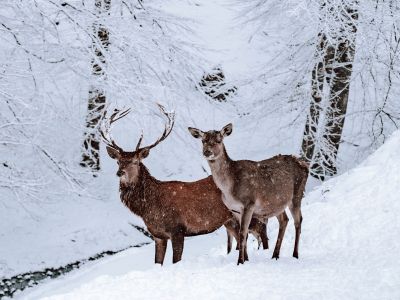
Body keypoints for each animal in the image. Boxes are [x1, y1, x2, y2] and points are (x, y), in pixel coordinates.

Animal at [101, 106, 268, 264]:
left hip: (251, 212)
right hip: (230, 221)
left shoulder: (177, 229)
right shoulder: (157, 235)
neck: (149, 206)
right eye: (118, 161)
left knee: (261, 231)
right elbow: (157, 263)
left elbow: (176, 261)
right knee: (242, 239)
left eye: (135, 162)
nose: (120, 173)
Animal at [189, 123, 308, 264]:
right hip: (277, 203)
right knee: (284, 220)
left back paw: (295, 254)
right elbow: (242, 234)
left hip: (297, 195)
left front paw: (240, 261)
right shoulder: (235, 210)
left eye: (218, 140)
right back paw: (275, 255)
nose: (207, 152)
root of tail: (305, 165)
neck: (229, 189)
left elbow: (242, 232)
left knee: (298, 221)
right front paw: (246, 259)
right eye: (203, 140)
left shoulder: (248, 204)